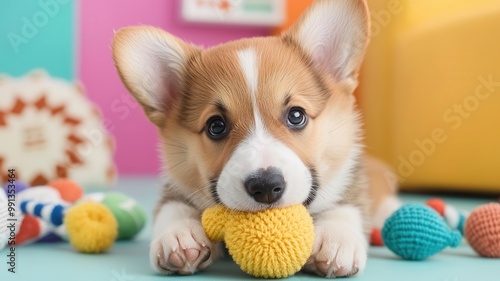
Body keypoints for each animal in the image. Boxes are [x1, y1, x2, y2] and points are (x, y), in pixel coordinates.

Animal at [112, 0, 398, 276]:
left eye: (296, 115)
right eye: (216, 126)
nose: (266, 187)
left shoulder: (351, 185)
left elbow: (346, 206)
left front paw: (335, 239)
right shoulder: (174, 187)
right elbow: (172, 206)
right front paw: (180, 234)